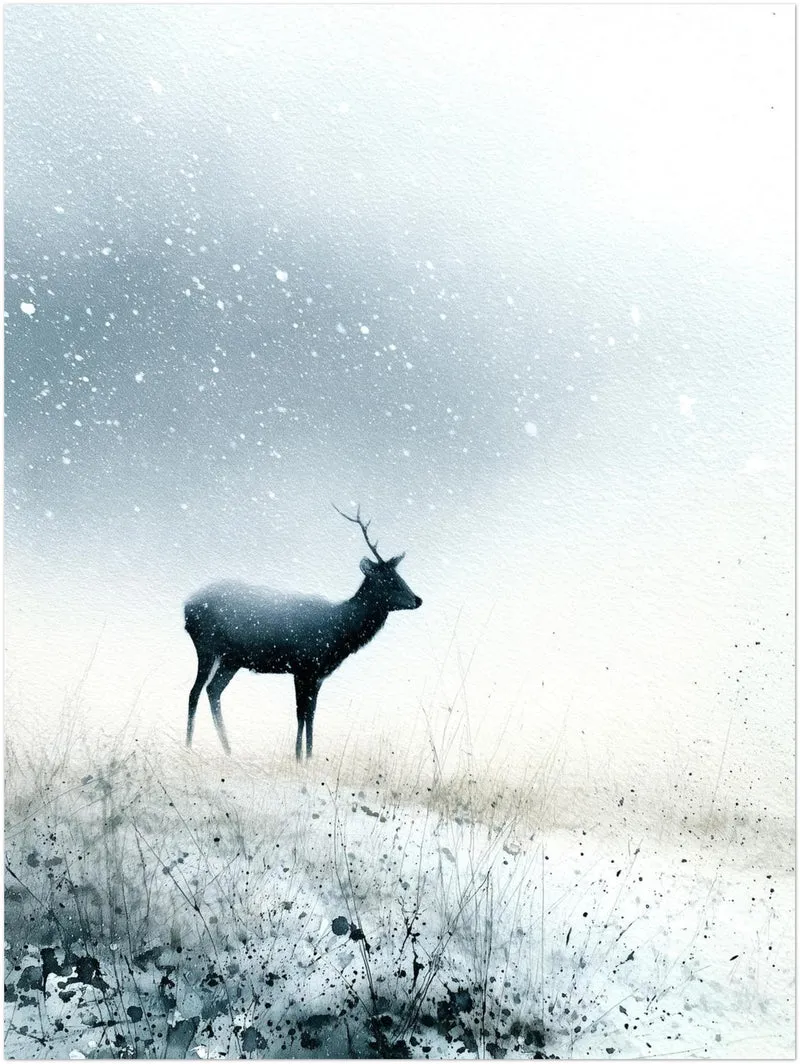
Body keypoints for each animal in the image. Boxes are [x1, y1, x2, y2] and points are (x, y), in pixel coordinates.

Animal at [183, 506, 422, 760]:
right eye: (388, 580)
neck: (338, 633)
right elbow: (300, 713)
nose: (418, 599)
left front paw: (309, 757)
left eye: (400, 577)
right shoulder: (302, 666)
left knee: (213, 690)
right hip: (206, 647)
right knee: (195, 691)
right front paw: (298, 757)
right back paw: (188, 746)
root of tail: (186, 608)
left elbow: (311, 714)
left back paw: (228, 750)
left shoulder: (317, 675)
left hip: (231, 660)